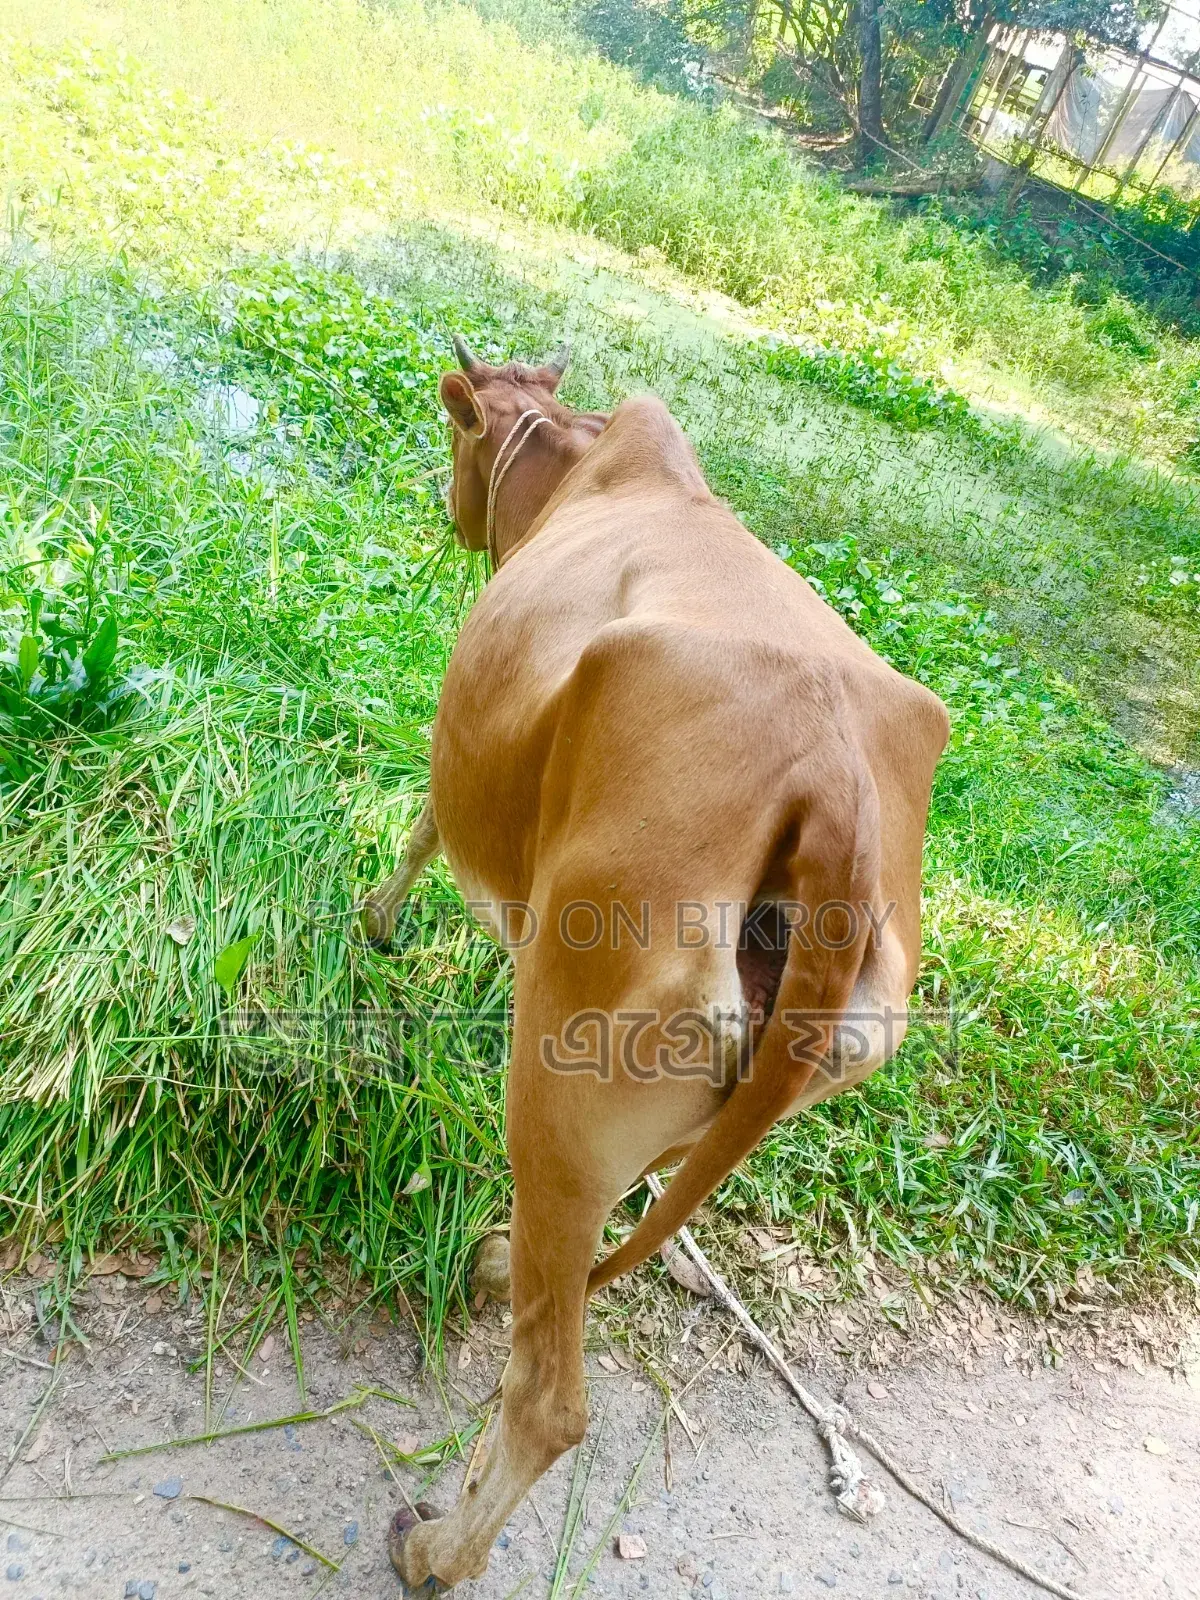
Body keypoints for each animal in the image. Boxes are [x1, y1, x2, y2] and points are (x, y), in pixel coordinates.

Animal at [362, 337, 949, 1594]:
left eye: (455, 435)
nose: (446, 503)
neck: (588, 464)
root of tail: (836, 797)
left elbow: (425, 828)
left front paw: (377, 921)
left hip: (559, 1086)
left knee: (551, 1400)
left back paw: (437, 1546)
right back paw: (507, 1260)